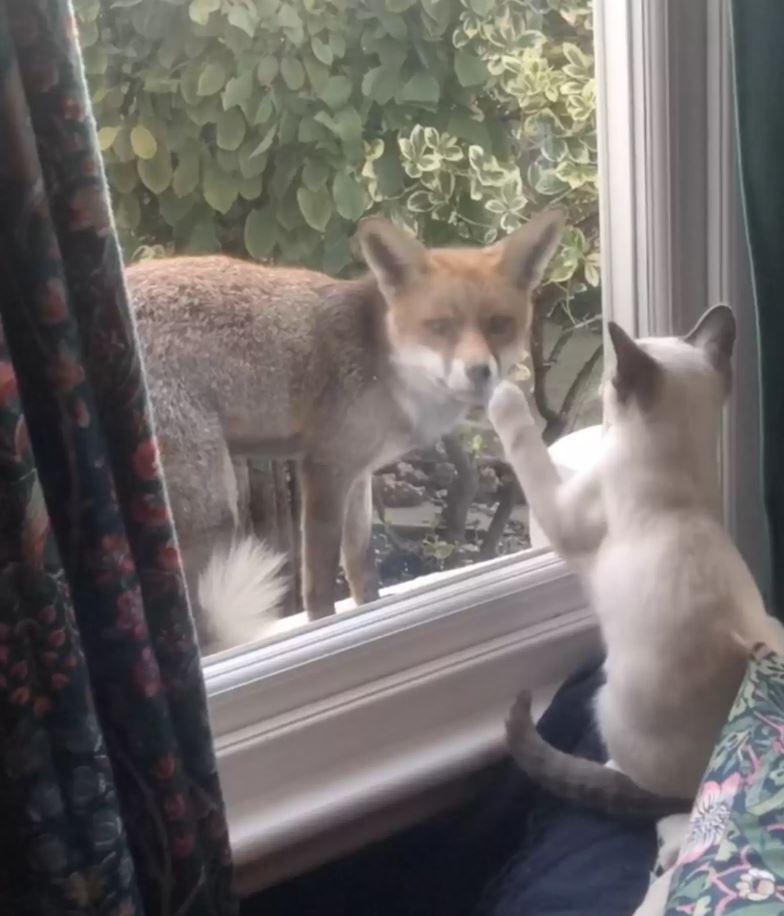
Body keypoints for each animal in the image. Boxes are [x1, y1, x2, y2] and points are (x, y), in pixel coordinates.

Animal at [129, 209, 564, 652]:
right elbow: (320, 580)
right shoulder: (324, 467)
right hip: (211, 504)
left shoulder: (358, 472)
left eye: (499, 324)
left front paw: (369, 612)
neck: (387, 367)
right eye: (440, 326)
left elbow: (359, 562)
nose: (479, 372)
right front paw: (322, 631)